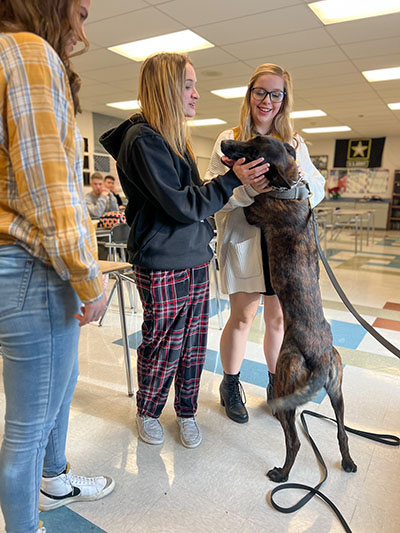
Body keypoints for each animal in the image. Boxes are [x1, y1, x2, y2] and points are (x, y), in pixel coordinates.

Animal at [220, 136, 358, 482]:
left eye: (253, 151)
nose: (226, 141)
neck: (290, 190)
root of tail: (320, 357)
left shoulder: (256, 211)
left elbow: (248, 202)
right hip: (337, 392)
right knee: (342, 432)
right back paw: (348, 462)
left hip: (286, 383)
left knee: (294, 441)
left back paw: (281, 474)